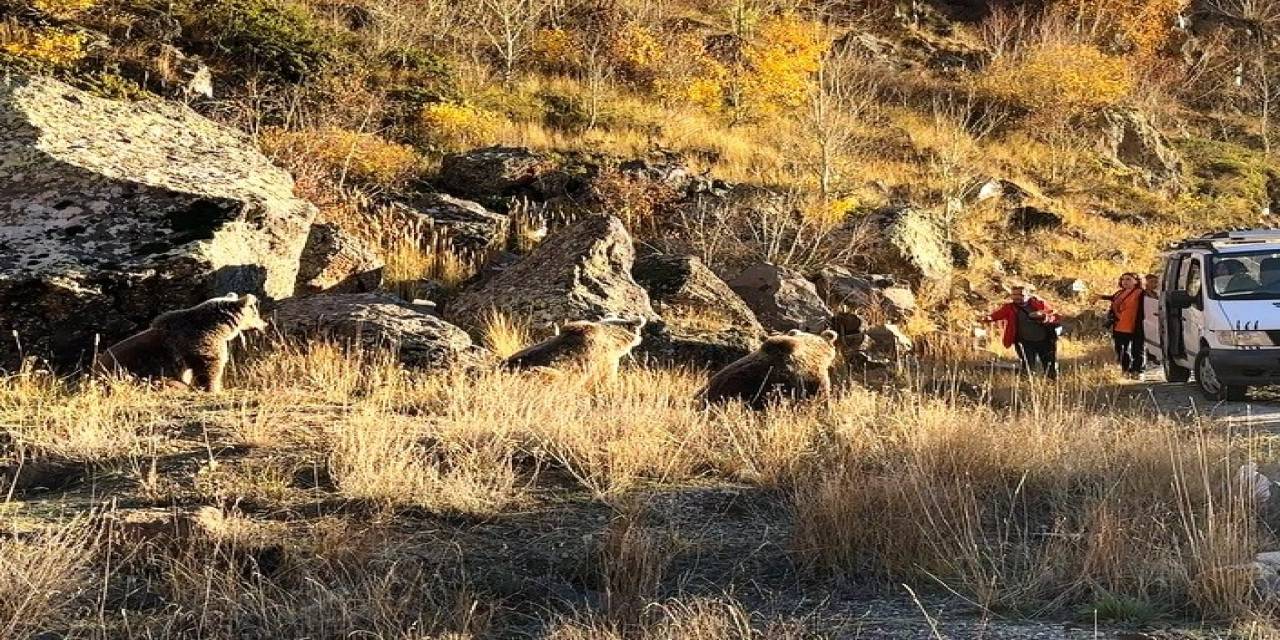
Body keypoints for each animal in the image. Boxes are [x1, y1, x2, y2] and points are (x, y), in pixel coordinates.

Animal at [94, 293, 267, 391]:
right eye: (255, 312)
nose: (264, 324)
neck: (218, 328)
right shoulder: (199, 344)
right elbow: (210, 368)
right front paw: (214, 388)